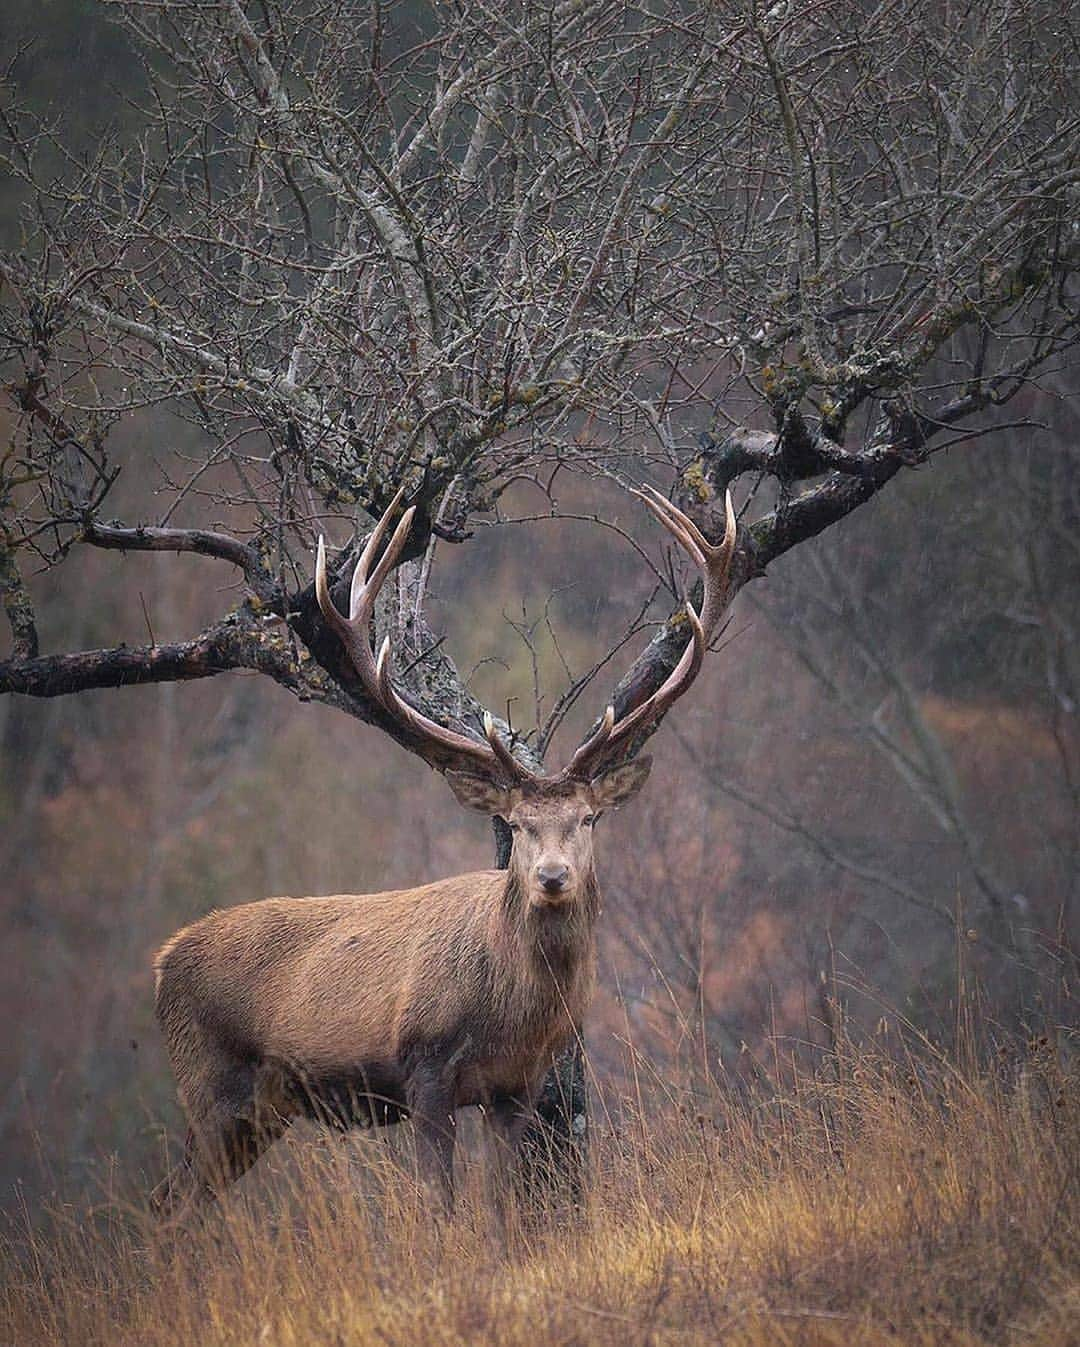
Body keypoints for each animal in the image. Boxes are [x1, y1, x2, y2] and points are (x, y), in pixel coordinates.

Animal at [151, 482, 737, 1212]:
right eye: (517, 823)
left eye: (587, 818)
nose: (552, 877)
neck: (513, 1011)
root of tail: (161, 964)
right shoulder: (423, 1068)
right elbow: (441, 1206)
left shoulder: (517, 1086)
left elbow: (504, 1203)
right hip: (210, 1080)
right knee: (171, 1199)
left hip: (260, 1109)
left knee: (177, 1200)